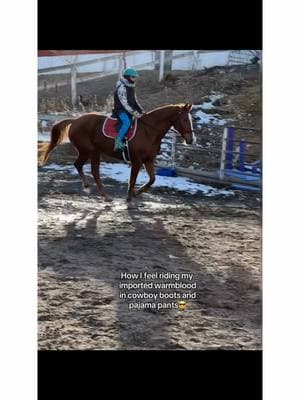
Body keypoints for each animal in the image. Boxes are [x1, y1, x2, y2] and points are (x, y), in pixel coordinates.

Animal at [38, 103, 195, 202]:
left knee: (85, 167)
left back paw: (98, 192)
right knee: (85, 168)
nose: (191, 139)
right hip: (89, 151)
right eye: (184, 119)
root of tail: (76, 120)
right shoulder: (137, 161)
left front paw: (137, 192)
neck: (148, 131)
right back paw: (96, 191)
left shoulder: (148, 160)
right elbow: (132, 179)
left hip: (92, 152)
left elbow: (152, 179)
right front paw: (129, 197)